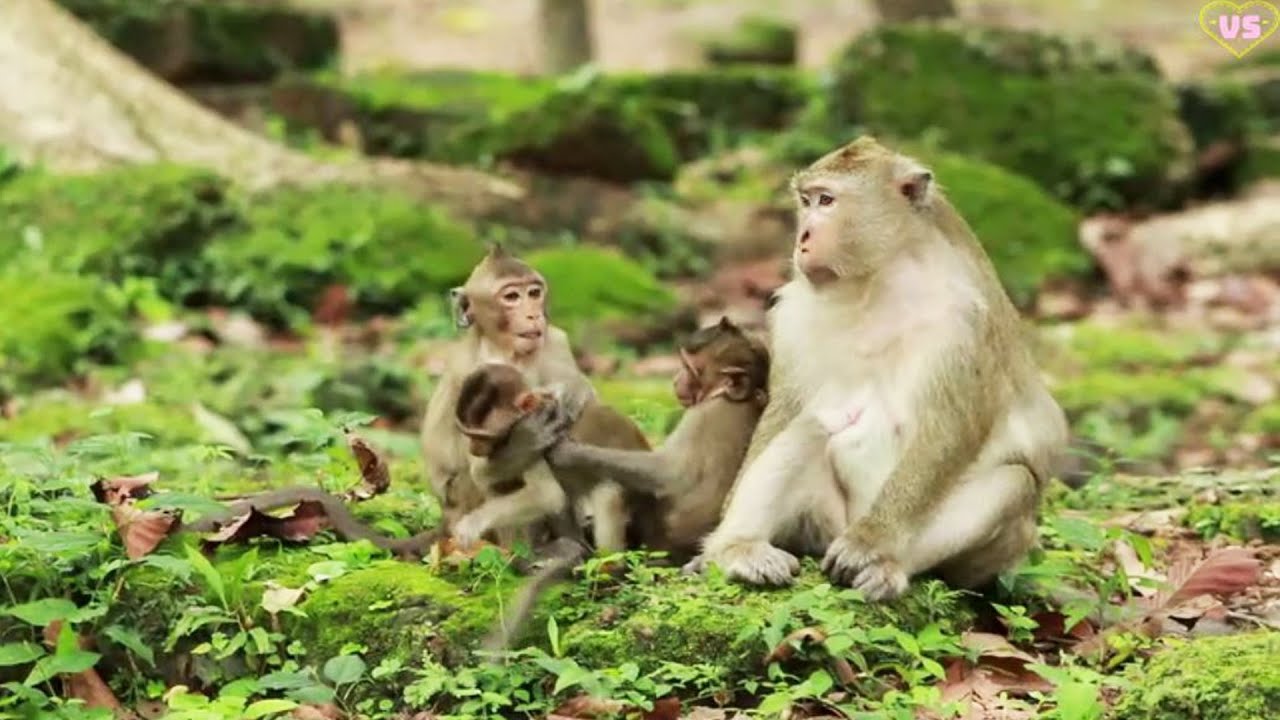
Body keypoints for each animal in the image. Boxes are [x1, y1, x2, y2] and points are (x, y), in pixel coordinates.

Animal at [686, 137, 1069, 600]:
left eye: (827, 201)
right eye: (806, 201)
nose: (803, 238)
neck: (877, 281)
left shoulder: (962, 323)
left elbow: (948, 431)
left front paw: (871, 545)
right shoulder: (793, 315)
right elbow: (785, 412)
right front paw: (721, 543)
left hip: (992, 552)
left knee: (1012, 481)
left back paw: (884, 564)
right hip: (825, 522)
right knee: (811, 426)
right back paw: (740, 549)